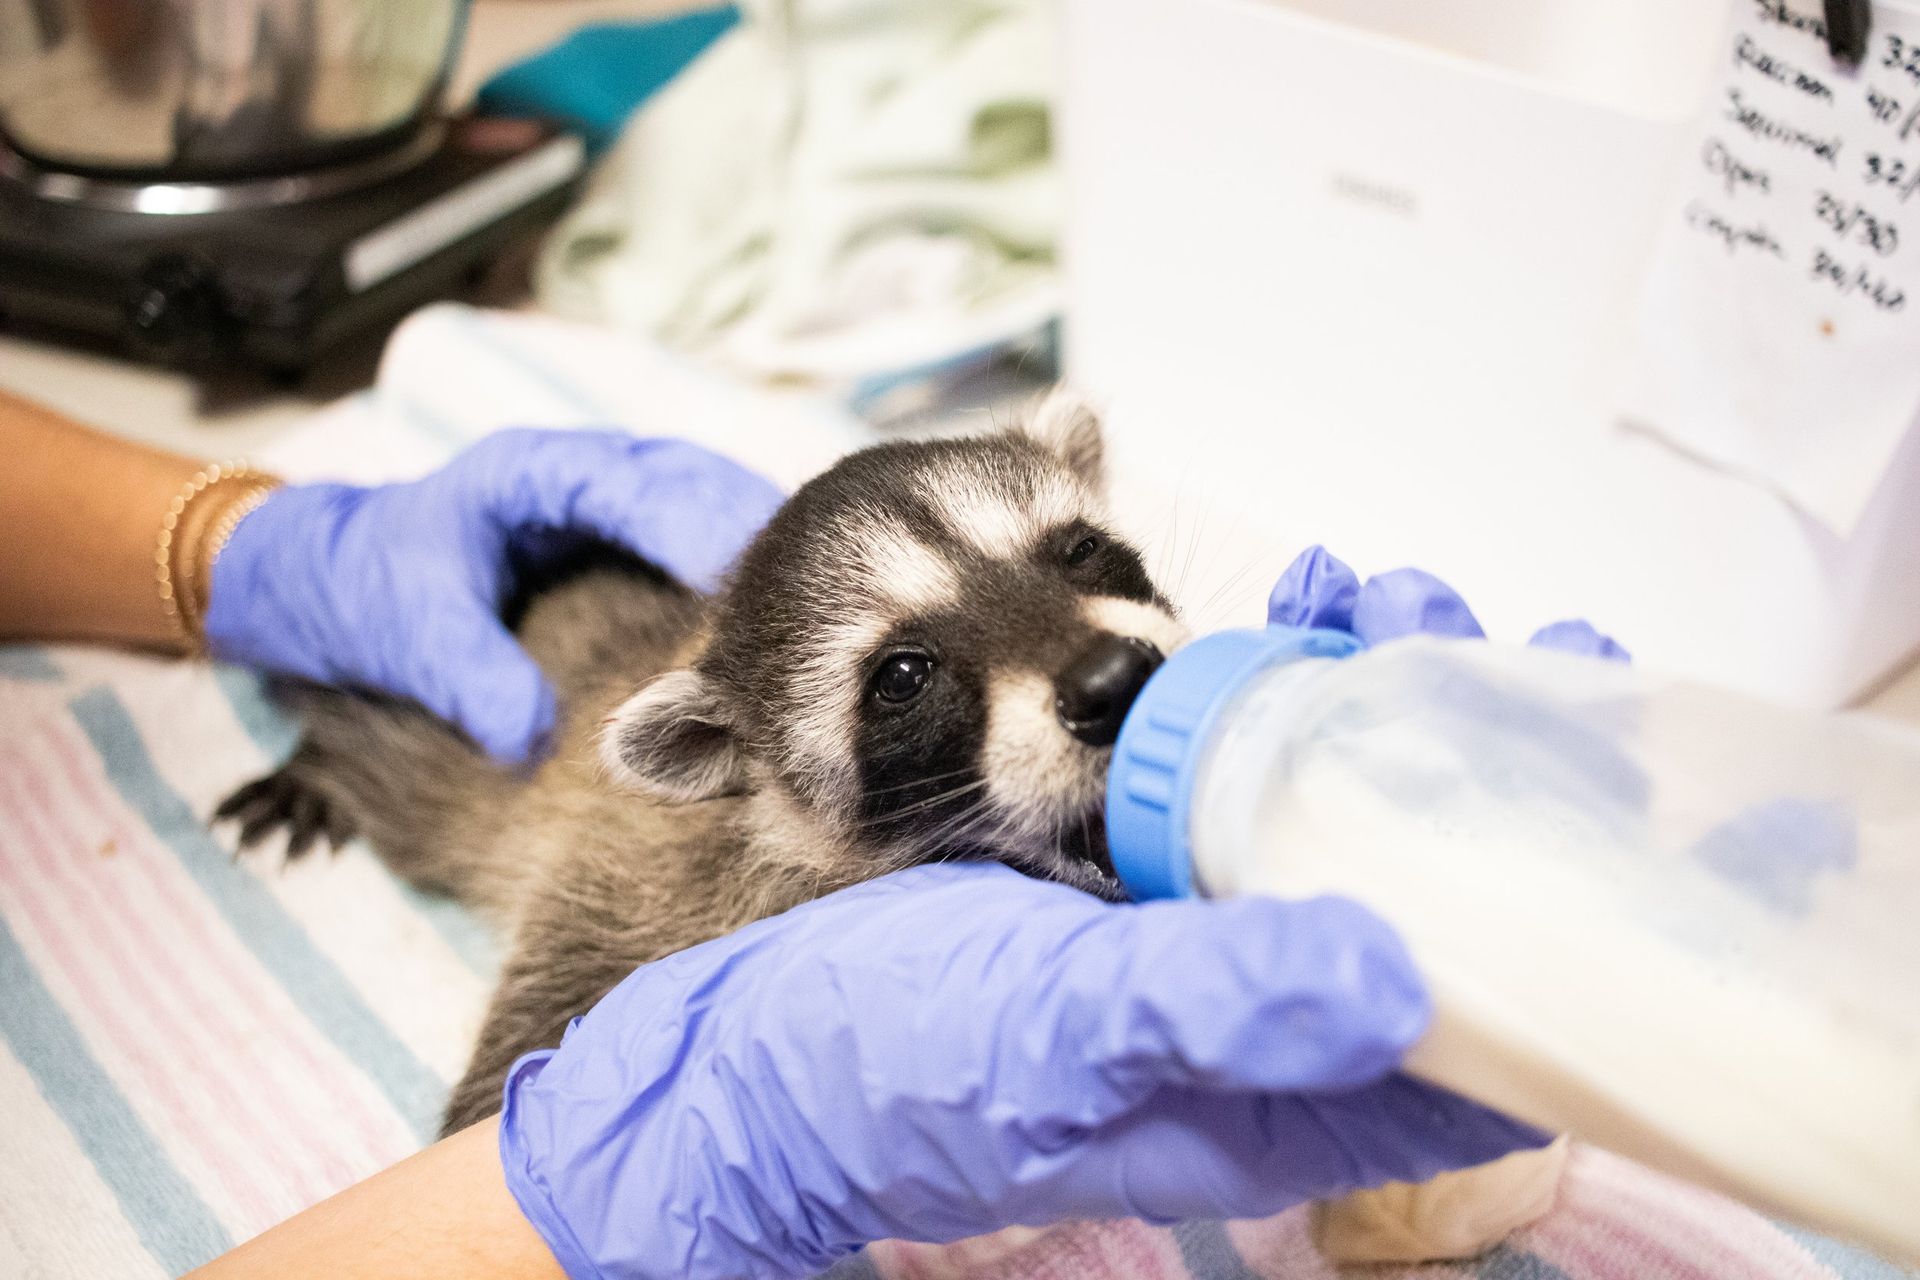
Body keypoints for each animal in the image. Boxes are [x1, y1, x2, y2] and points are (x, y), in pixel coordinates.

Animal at [218, 390, 1187, 1135]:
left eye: (1080, 550)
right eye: (903, 678)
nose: (1115, 681)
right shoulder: (619, 883)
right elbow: (506, 1088)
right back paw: (317, 762)